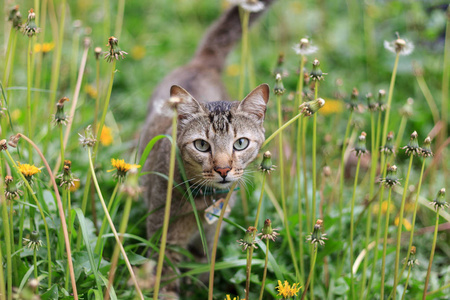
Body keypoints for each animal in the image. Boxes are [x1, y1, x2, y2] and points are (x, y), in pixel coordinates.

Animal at [139, 0, 274, 294]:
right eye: (201, 145)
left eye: (240, 143)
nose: (223, 169)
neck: (203, 202)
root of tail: (202, 62)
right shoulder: (163, 235)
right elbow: (165, 277)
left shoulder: (212, 236)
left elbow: (204, 268)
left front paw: (199, 286)